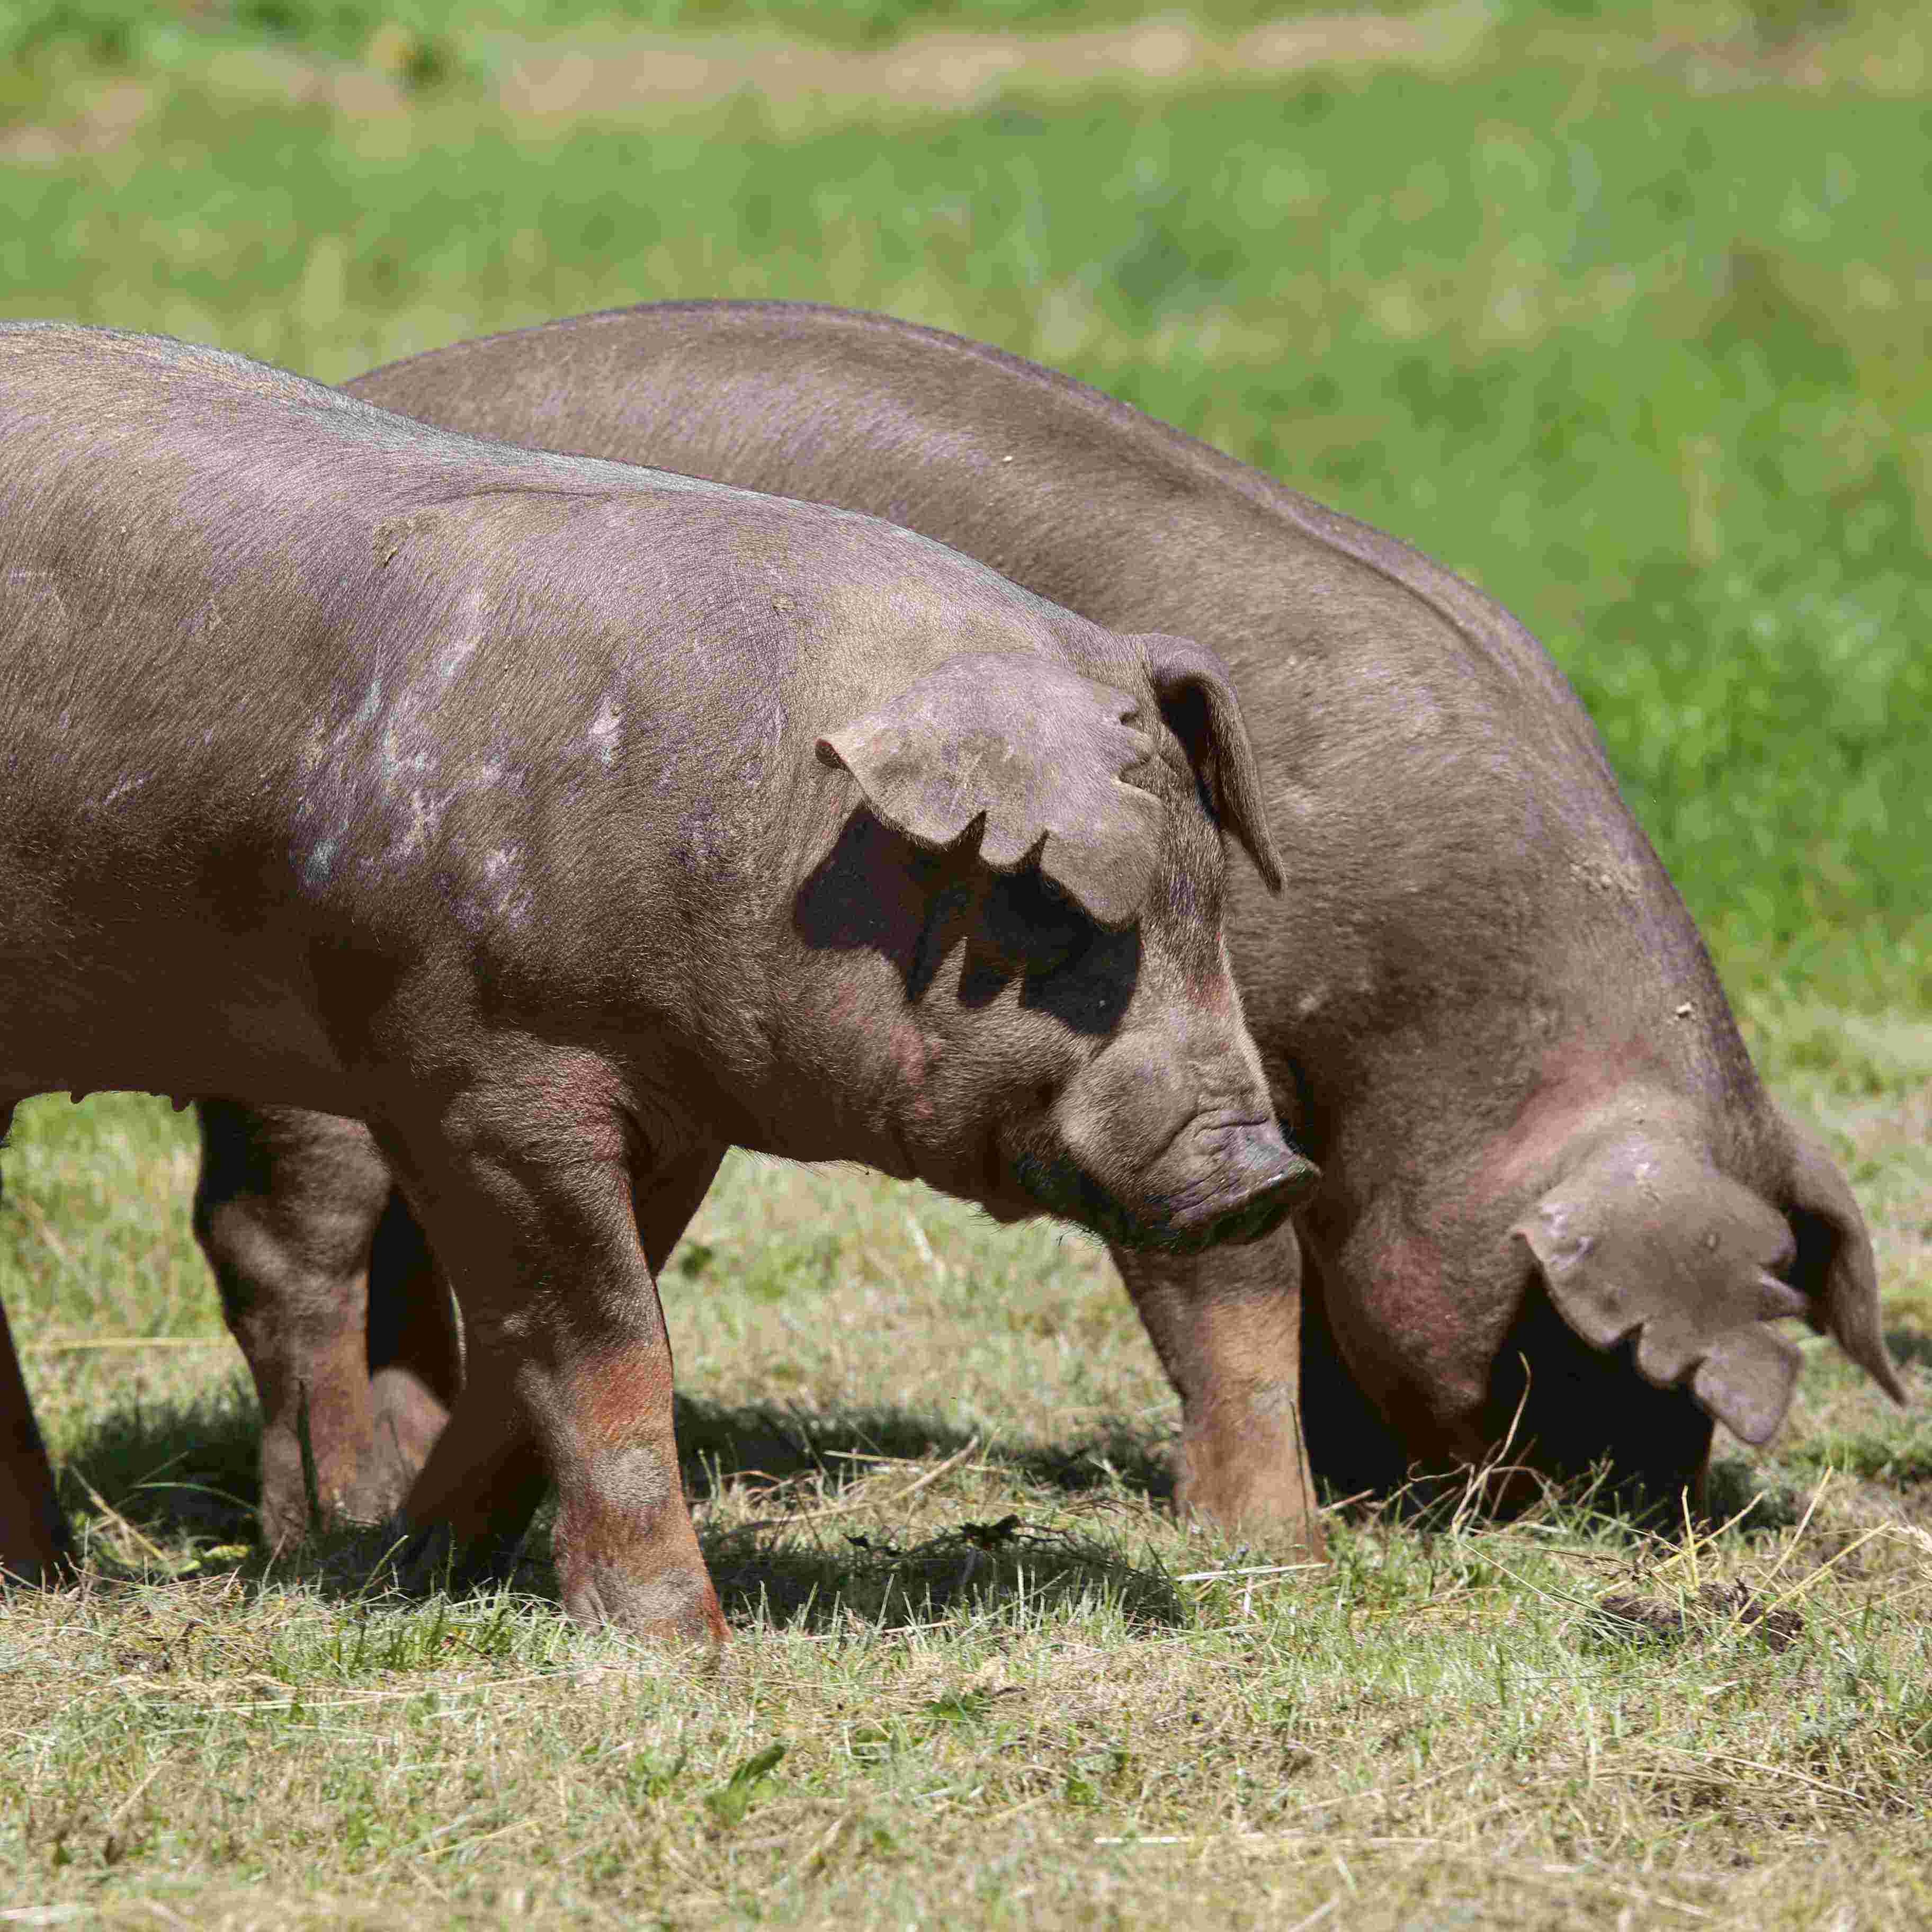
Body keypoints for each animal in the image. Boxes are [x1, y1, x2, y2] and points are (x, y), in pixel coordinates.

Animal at [0, 324, 1306, 1638]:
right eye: (1049, 913)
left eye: (1212, 897)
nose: (1270, 1170)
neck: (774, 834)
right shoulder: (483, 1072)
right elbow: (606, 1343)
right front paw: (685, 1645)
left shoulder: (677, 1107)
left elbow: (528, 1355)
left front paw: (420, 1571)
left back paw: (57, 1574)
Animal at [188, 301, 1909, 1553]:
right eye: (1590, 1343)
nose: (1642, 1514)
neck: (1443, 1026)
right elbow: (1231, 1267)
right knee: (288, 1235)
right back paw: (331, 1517)